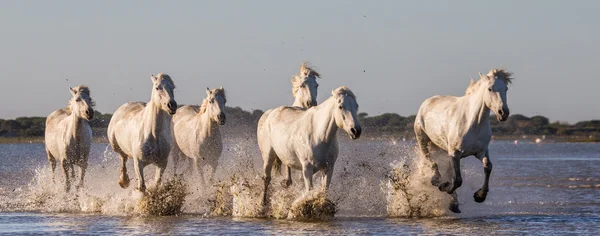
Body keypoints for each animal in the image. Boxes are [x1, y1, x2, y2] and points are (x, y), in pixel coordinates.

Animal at [414, 68, 512, 214]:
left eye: (506, 89)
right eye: (490, 89)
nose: (503, 113)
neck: (473, 122)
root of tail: (427, 102)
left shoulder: (481, 151)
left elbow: (488, 167)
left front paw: (480, 196)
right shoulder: (455, 153)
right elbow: (458, 181)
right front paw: (444, 187)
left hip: (443, 149)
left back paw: (453, 204)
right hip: (423, 141)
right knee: (430, 161)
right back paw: (437, 181)